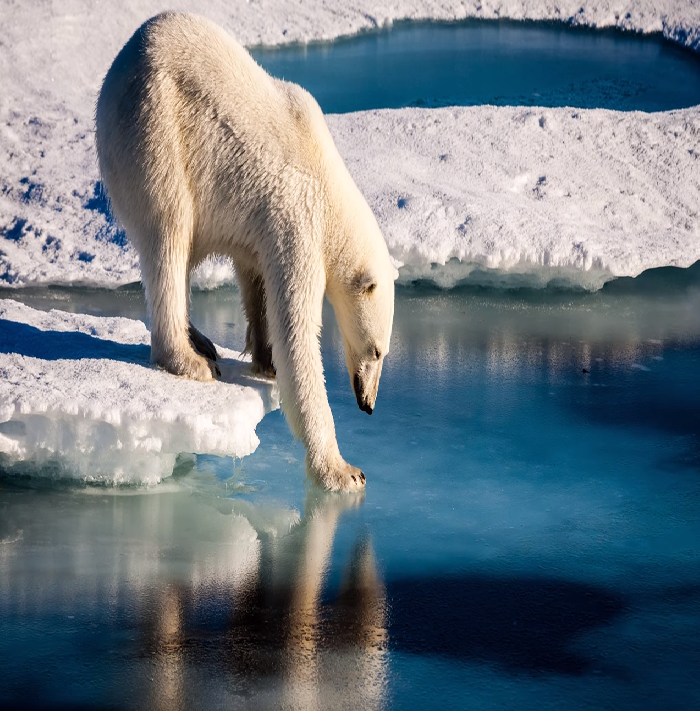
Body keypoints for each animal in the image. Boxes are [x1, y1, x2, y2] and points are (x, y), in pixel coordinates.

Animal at [95, 12, 396, 490]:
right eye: (377, 351)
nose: (368, 403)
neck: (330, 190)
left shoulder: (263, 226)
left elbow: (256, 281)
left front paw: (265, 358)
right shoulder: (297, 219)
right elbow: (298, 333)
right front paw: (343, 471)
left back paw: (200, 339)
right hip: (154, 128)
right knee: (170, 231)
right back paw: (190, 360)